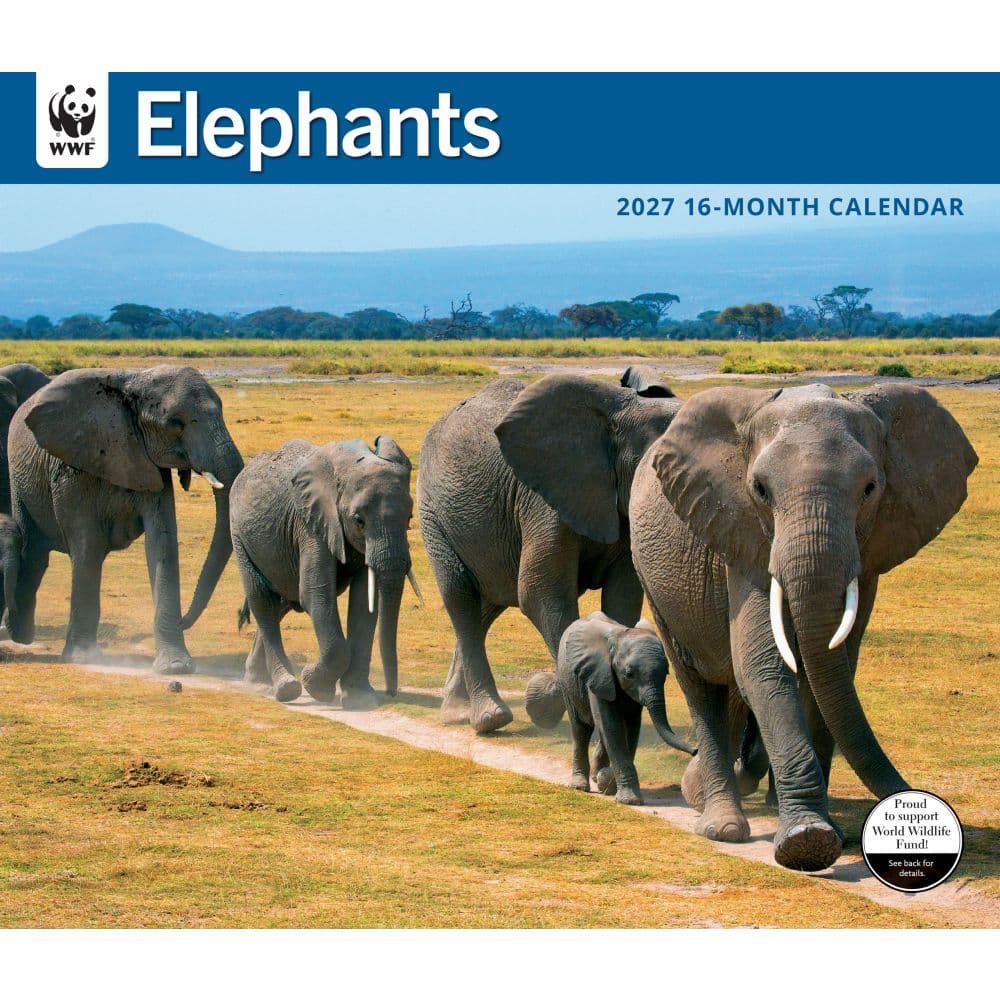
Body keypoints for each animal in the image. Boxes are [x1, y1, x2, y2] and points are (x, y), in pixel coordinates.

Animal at [8, 365, 244, 673]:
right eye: (175, 423)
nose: (184, 621)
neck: (132, 381)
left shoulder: (149, 463)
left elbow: (162, 542)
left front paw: (175, 666)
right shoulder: (72, 468)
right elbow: (87, 545)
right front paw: (83, 657)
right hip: (17, 479)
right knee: (34, 554)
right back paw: (20, 637)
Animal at [230, 436, 418, 707]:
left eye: (409, 518)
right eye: (359, 521)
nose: (391, 693)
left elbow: (364, 603)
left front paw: (360, 700)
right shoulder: (310, 524)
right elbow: (315, 594)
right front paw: (317, 687)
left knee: (281, 604)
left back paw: (257, 682)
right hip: (239, 535)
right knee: (262, 600)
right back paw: (285, 688)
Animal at [417, 367, 680, 734]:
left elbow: (622, 598)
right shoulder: (544, 501)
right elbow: (541, 593)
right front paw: (545, 702)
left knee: (488, 604)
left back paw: (457, 712)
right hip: (433, 511)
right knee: (461, 597)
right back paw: (488, 719)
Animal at [555, 610, 694, 805]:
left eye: (666, 673)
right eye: (629, 674)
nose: (695, 751)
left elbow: (630, 727)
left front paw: (608, 784)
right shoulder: (600, 674)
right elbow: (612, 726)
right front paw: (629, 800)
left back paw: (597, 776)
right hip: (567, 682)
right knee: (581, 728)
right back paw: (580, 786)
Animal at [627, 383, 977, 871]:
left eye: (870, 489)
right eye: (759, 489)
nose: (920, 806)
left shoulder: (868, 555)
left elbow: (829, 670)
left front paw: (824, 832)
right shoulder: (744, 537)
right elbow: (765, 667)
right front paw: (807, 841)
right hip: (653, 579)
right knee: (699, 685)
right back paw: (721, 824)